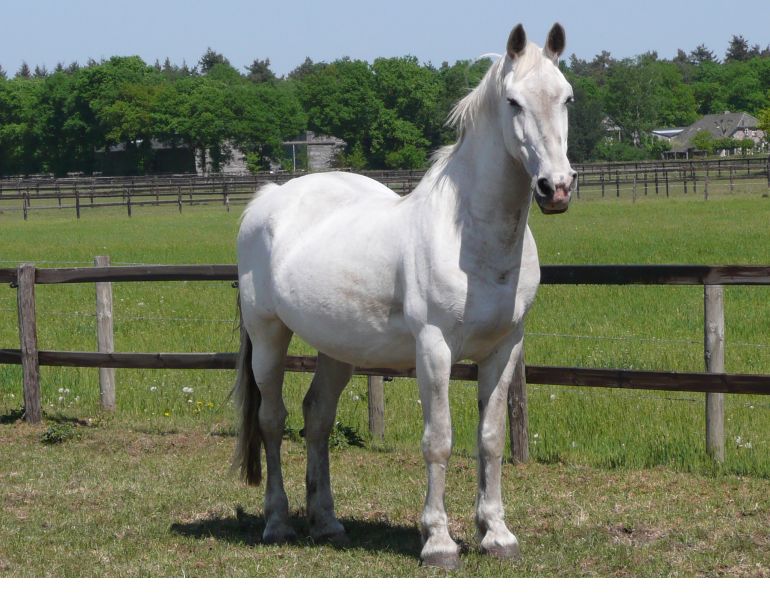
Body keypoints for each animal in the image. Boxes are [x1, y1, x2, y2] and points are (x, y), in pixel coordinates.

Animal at [232, 23, 575, 569]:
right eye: (513, 102)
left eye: (567, 97)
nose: (556, 187)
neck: (470, 237)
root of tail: (268, 198)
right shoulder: (433, 349)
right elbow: (439, 440)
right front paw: (438, 542)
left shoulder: (505, 348)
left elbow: (491, 439)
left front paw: (497, 534)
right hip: (268, 336)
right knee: (272, 419)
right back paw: (277, 522)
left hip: (338, 349)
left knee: (316, 418)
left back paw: (327, 523)